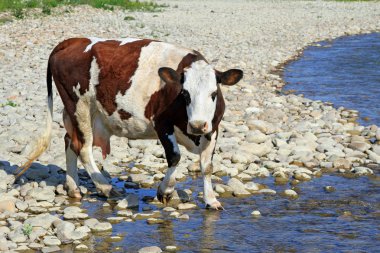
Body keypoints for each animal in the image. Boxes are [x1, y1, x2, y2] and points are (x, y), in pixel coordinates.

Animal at [17, 37, 242, 211]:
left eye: (213, 94)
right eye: (185, 94)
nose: (197, 125)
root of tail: (72, 41)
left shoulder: (213, 129)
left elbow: (207, 166)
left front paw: (211, 200)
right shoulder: (162, 123)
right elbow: (175, 157)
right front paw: (165, 190)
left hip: (81, 113)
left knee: (70, 141)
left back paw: (73, 188)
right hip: (78, 105)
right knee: (83, 148)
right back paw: (106, 188)